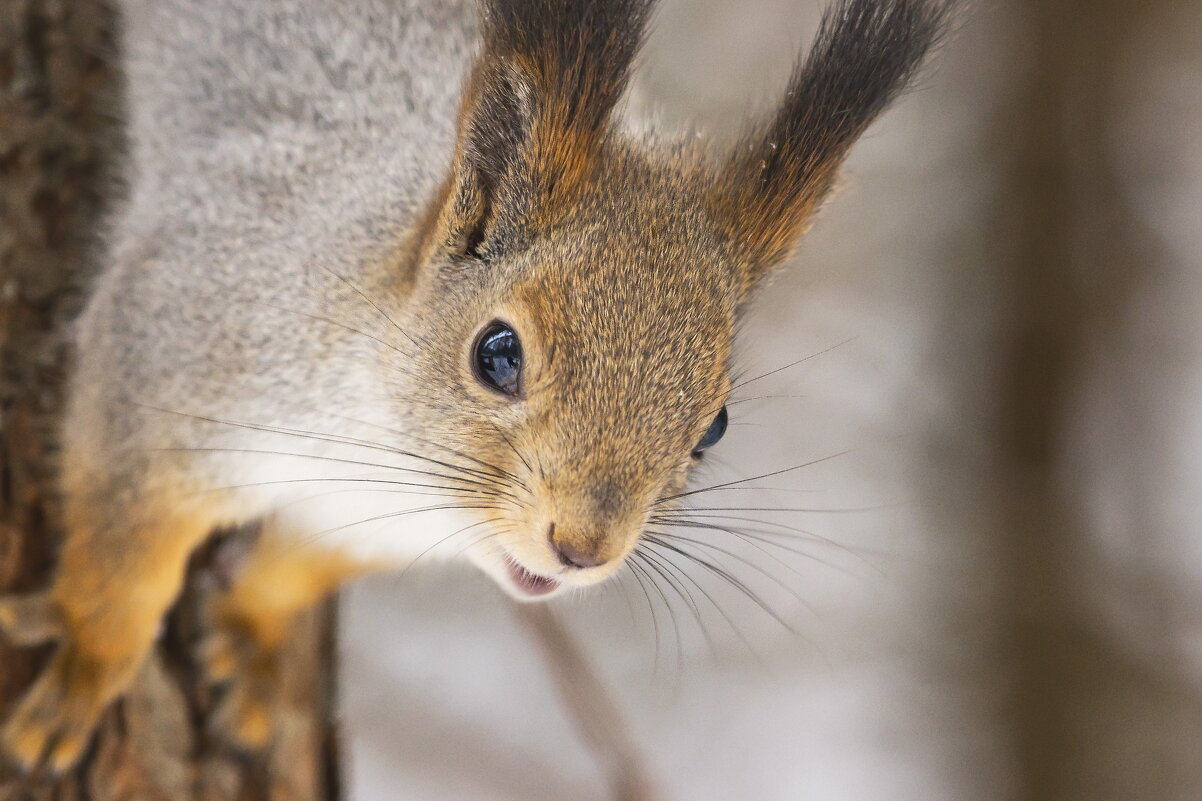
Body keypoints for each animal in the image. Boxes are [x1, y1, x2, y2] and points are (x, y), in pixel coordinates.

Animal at [0, 0, 947, 769]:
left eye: (713, 425)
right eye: (497, 354)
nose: (583, 548)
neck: (390, 465)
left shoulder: (365, 529)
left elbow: (296, 568)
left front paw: (256, 639)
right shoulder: (172, 343)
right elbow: (124, 549)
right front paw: (88, 661)